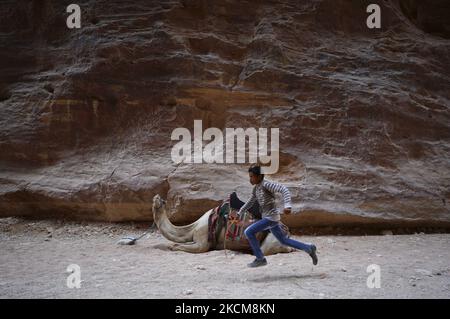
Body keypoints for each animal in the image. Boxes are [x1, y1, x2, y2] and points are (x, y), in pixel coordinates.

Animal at [151, 194, 292, 256]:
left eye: (160, 201)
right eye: (156, 199)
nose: (156, 196)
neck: (193, 228)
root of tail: (286, 229)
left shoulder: (202, 243)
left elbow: (176, 246)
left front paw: (171, 246)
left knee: (267, 249)